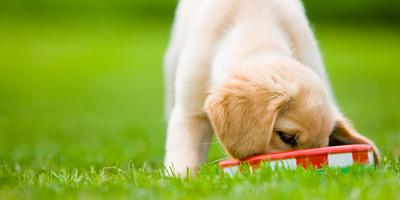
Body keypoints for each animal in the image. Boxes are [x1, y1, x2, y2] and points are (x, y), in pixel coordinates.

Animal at [163, 0, 382, 175]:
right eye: (287, 137)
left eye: (324, 146)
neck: (255, 28)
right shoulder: (189, 111)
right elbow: (184, 154)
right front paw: (182, 180)